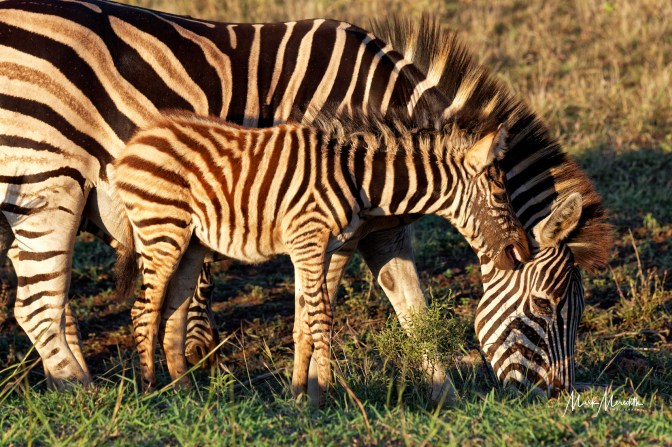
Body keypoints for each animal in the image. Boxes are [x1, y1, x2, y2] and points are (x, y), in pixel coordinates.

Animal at [110, 107, 530, 403]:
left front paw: (298, 396)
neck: (359, 178)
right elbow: (323, 318)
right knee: (144, 310)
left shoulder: (316, 250)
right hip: (161, 228)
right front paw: (326, 395)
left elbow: (302, 324)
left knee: (173, 315)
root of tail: (134, 143)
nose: (523, 252)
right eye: (500, 194)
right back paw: (150, 392)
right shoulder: (308, 240)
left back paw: (187, 396)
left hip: (191, 244)